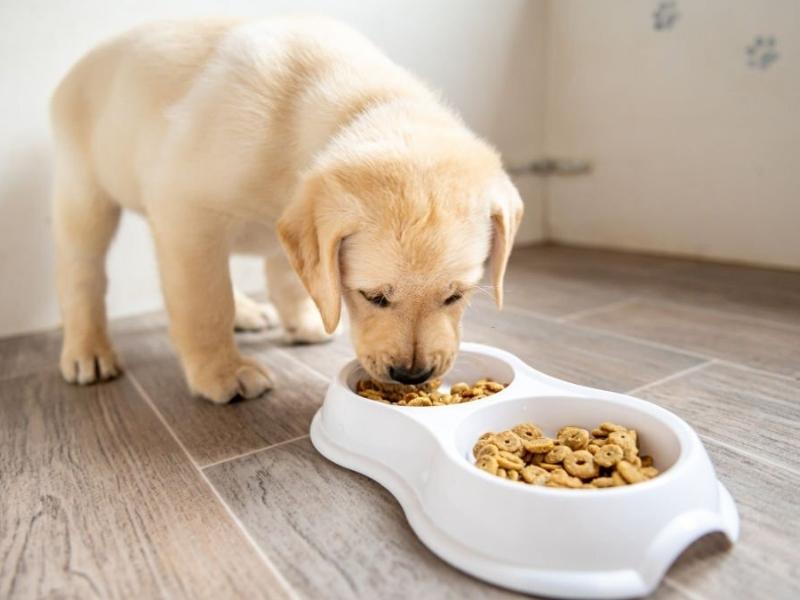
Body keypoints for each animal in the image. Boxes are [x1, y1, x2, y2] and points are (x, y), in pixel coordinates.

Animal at [51, 17, 524, 404]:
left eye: (456, 296)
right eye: (373, 296)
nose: (412, 375)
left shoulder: (293, 227)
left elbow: (291, 276)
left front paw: (301, 320)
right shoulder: (187, 212)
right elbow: (206, 302)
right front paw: (222, 372)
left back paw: (248, 312)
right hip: (85, 193)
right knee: (83, 274)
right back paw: (89, 350)